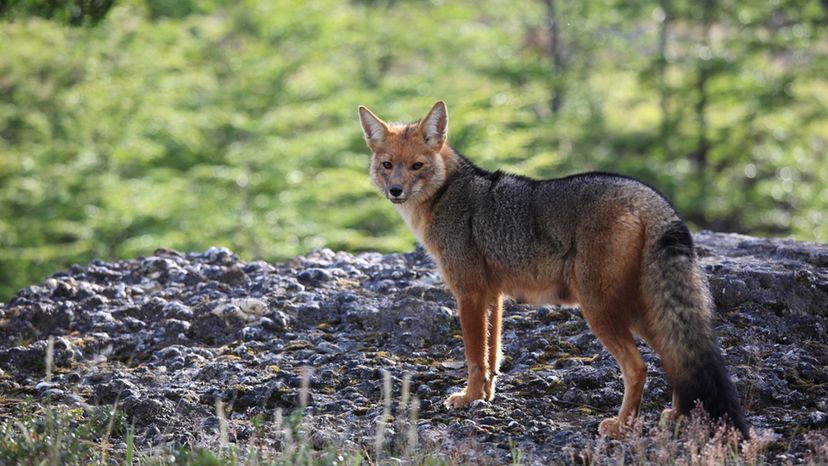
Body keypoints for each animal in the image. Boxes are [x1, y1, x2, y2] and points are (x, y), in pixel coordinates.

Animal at [356, 100, 752, 438]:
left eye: (417, 166)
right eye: (388, 165)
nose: (395, 191)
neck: (448, 193)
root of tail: (647, 195)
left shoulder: (468, 293)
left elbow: (474, 356)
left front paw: (468, 398)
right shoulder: (493, 296)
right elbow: (493, 354)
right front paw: (485, 396)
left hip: (600, 310)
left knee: (640, 367)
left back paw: (621, 426)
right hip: (640, 312)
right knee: (676, 359)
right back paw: (676, 417)